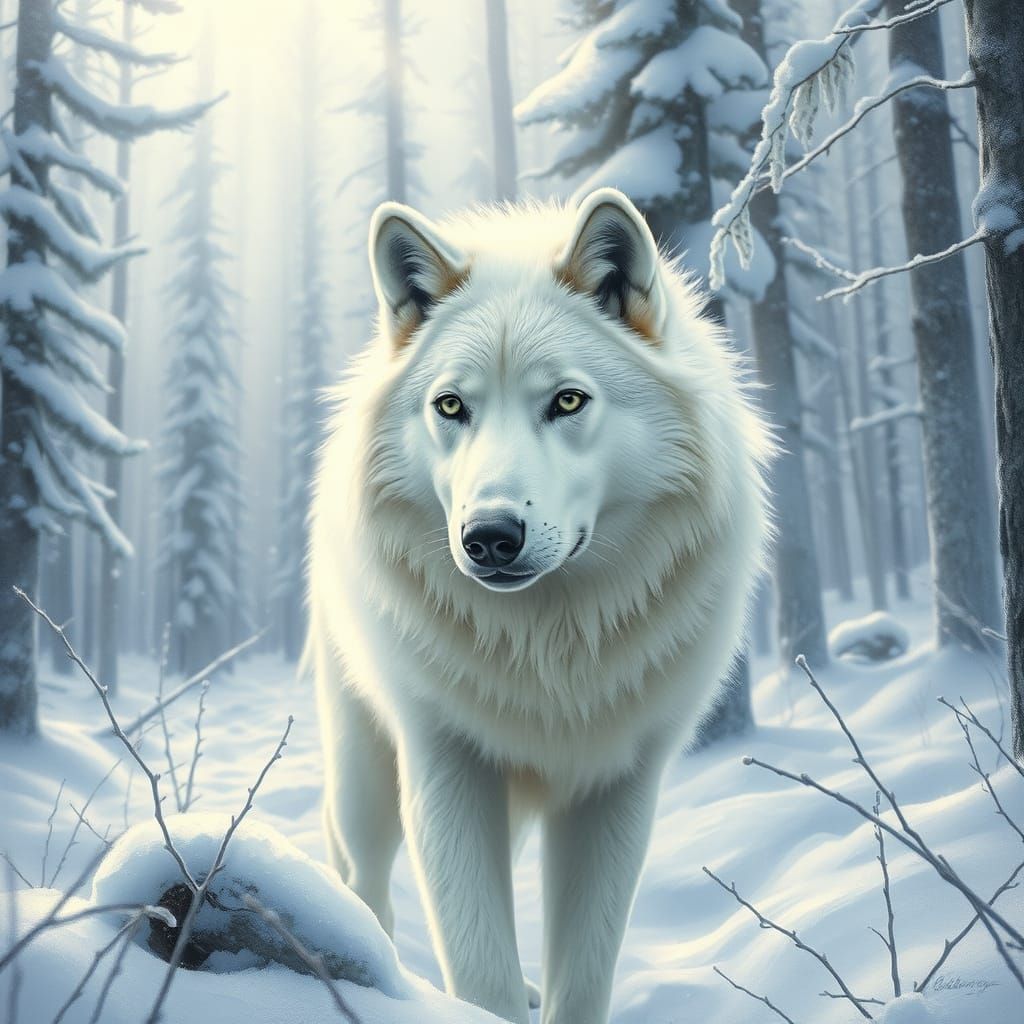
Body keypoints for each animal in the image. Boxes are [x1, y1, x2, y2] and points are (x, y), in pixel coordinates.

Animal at [308, 188, 771, 1024]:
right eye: (451, 406)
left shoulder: (619, 787)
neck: (549, 651)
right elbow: (480, 968)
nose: (490, 536)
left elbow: (581, 977)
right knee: (364, 884)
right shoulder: (446, 769)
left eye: (567, 400)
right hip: (366, 775)